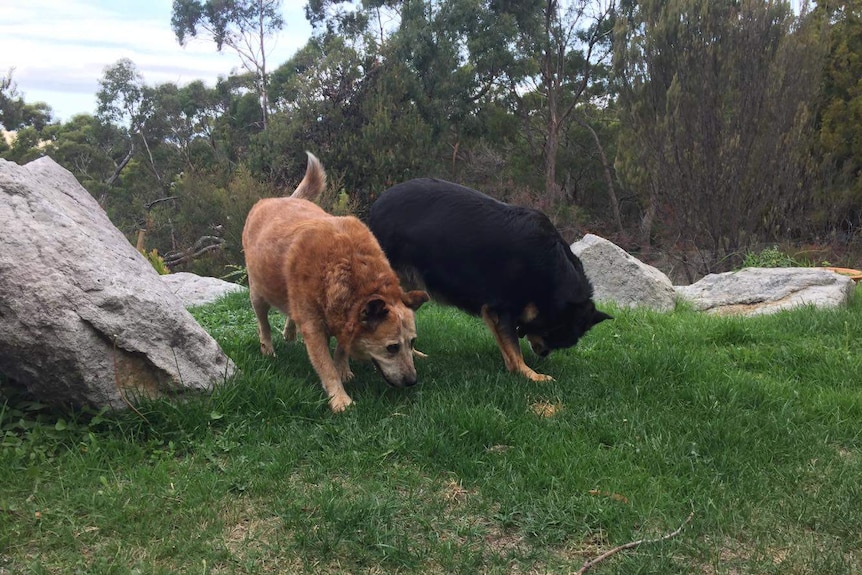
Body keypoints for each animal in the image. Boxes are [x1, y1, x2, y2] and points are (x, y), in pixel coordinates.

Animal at [241, 154, 430, 414]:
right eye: (392, 347)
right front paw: (340, 399)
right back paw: (268, 349)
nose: (412, 381)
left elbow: (341, 351)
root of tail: (283, 199)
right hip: (258, 293)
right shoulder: (314, 329)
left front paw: (344, 370)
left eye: (412, 342)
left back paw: (289, 332)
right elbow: (326, 366)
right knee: (264, 323)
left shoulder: (345, 320)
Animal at [368, 178, 612, 380]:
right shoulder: (501, 309)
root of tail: (377, 205)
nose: (543, 353)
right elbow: (514, 348)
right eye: (551, 334)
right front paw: (531, 375)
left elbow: (507, 348)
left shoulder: (494, 312)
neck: (551, 276)